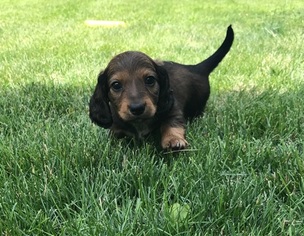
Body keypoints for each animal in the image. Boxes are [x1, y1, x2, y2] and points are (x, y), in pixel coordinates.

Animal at [89, 24, 234, 149]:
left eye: (150, 79)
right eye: (116, 85)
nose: (137, 108)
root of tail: (196, 68)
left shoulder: (173, 110)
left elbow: (171, 124)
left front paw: (173, 140)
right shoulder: (116, 126)